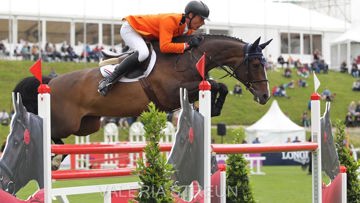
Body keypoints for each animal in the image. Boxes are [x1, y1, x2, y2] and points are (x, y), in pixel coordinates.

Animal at [13, 33, 272, 141]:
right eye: (256, 64)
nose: (265, 96)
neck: (188, 57)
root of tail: (51, 81)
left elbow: (220, 86)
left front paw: (215, 109)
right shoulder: (172, 93)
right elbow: (216, 84)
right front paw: (215, 107)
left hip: (86, 125)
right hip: (64, 124)